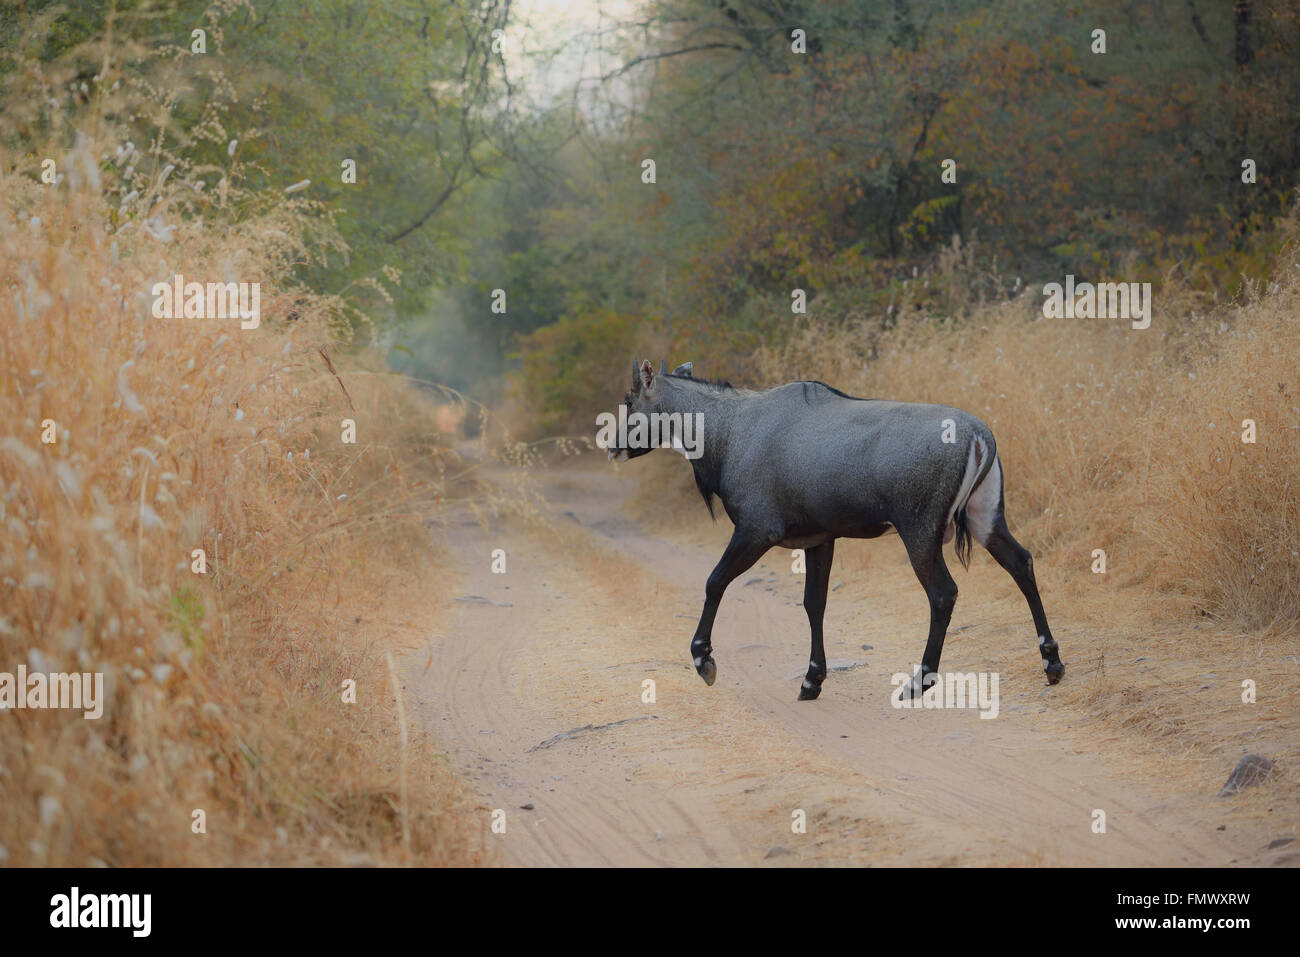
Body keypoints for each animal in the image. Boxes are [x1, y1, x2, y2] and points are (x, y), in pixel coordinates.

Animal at [608, 358, 1066, 702]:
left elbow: (714, 581)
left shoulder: (757, 531)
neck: (731, 429)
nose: (612, 447)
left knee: (944, 593)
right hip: (985, 518)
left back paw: (918, 682)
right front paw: (812, 680)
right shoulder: (820, 539)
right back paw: (1052, 663)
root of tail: (978, 433)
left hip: (919, 532)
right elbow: (815, 604)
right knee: (1022, 563)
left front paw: (704, 661)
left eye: (629, 399)